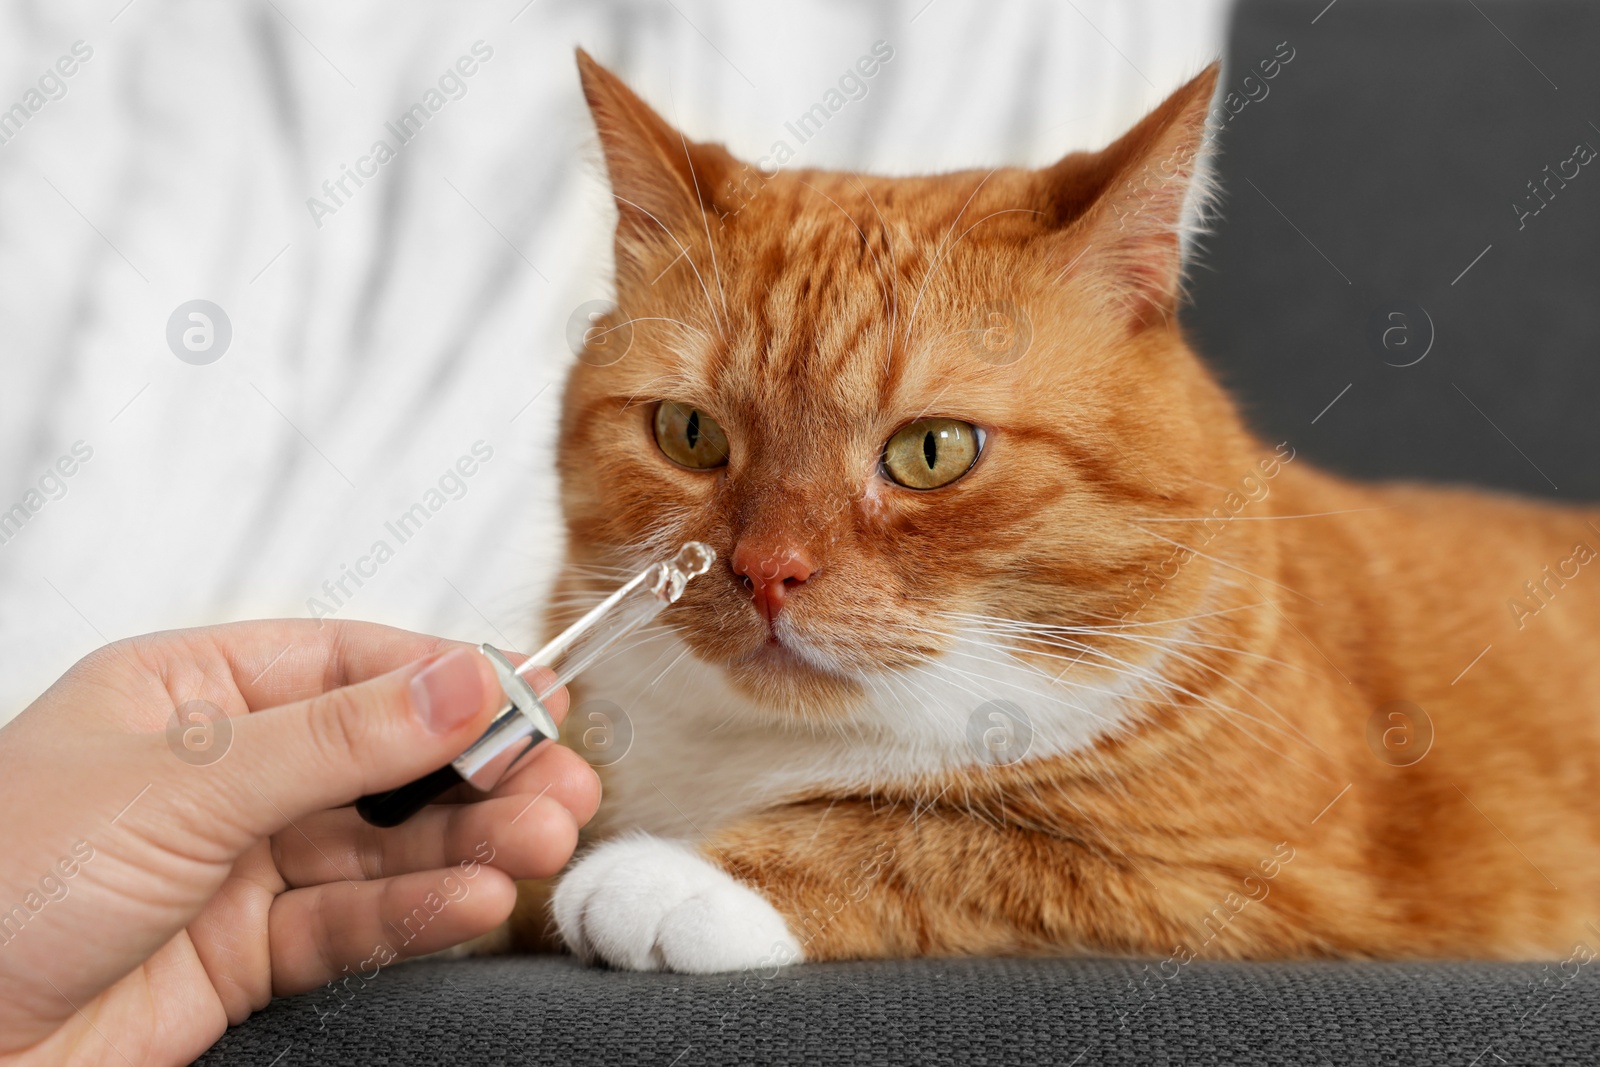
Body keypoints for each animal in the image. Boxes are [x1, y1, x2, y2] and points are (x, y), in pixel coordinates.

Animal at [521, 51, 1600, 979]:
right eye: (690, 433)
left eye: (932, 451)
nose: (765, 570)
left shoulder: (1239, 871)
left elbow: (929, 834)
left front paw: (678, 875)